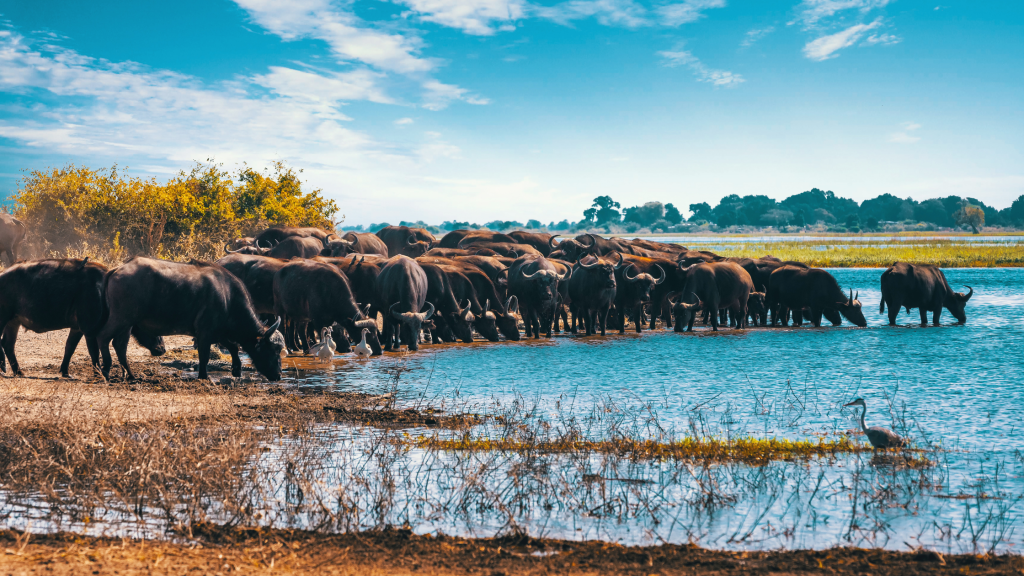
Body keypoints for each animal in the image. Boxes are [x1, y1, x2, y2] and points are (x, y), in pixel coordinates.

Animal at [0, 259, 163, 377]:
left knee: (8, 344)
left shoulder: (77, 328)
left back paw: (18, 371)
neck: (104, 294)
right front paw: (98, 372)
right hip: (4, 318)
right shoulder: (89, 330)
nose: (162, 349)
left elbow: (69, 348)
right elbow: (94, 351)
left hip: (13, 322)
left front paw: (65, 371)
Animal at [98, 260, 286, 381]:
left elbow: (233, 347)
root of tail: (116, 270)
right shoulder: (205, 333)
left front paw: (237, 370)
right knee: (103, 338)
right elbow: (204, 355)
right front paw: (204, 376)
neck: (228, 296)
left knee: (120, 346)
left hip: (127, 324)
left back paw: (130, 375)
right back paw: (105, 370)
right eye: (273, 350)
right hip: (121, 319)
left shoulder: (219, 332)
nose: (278, 375)